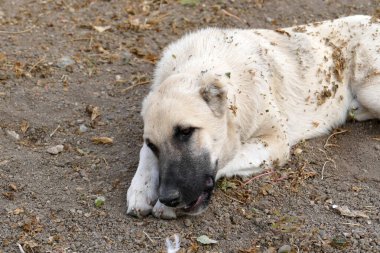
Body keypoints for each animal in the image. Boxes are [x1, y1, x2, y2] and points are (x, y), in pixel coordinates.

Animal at [126, 15, 378, 219]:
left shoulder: (275, 141)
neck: (202, 63)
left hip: (369, 91)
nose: (168, 197)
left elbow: (231, 154)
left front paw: (161, 205)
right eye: (154, 145)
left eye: (186, 132)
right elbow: (143, 154)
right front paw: (140, 188)